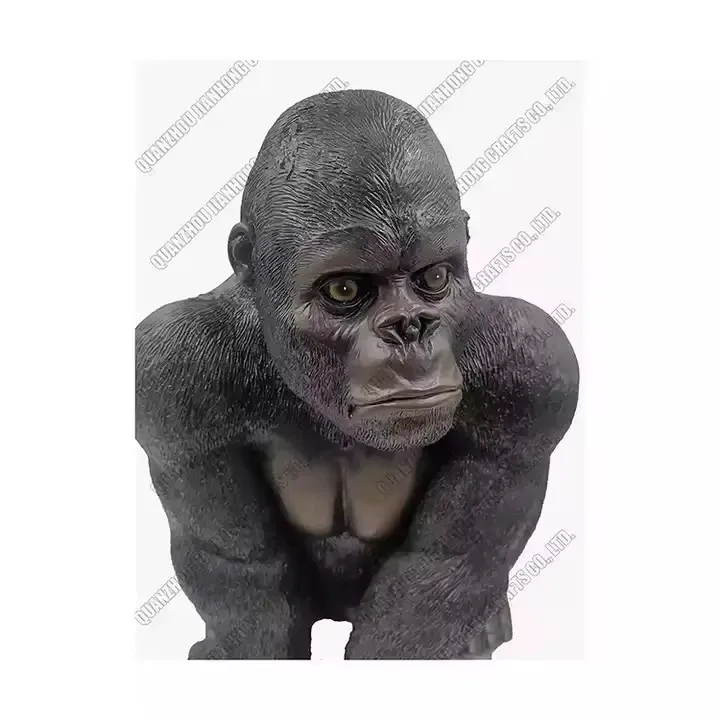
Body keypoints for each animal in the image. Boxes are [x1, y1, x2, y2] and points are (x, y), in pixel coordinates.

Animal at [135, 89, 579, 660]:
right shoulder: (168, 373)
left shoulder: (534, 370)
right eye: (344, 289)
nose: (408, 328)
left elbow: (440, 567)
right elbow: (244, 571)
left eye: (435, 276)